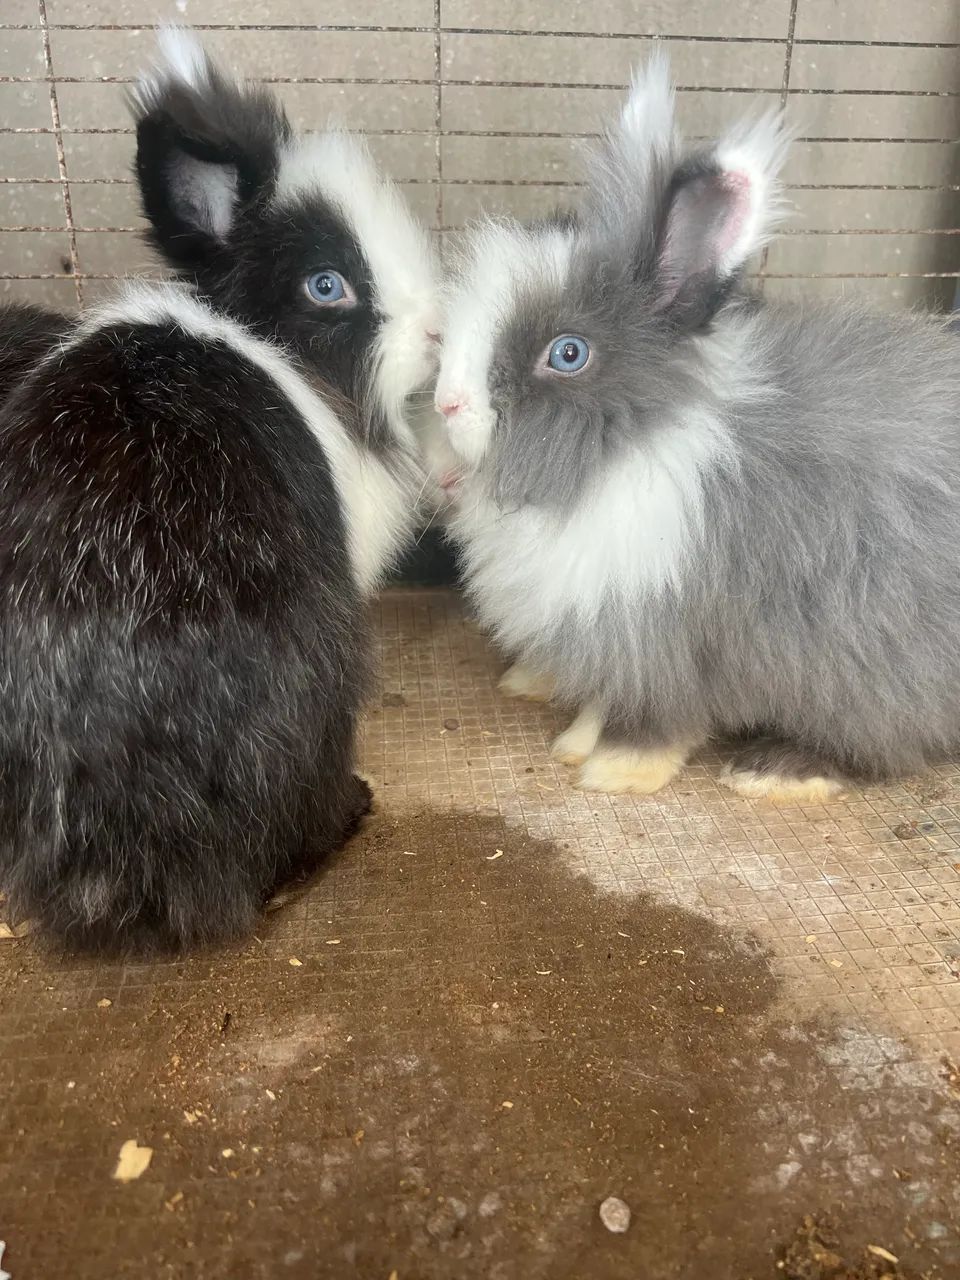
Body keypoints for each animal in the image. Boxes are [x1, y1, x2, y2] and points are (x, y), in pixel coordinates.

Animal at [433, 55, 960, 804]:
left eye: (568, 354)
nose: (448, 403)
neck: (633, 445)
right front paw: (557, 716)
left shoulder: (670, 638)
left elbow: (656, 719)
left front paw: (611, 770)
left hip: (875, 669)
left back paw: (771, 771)